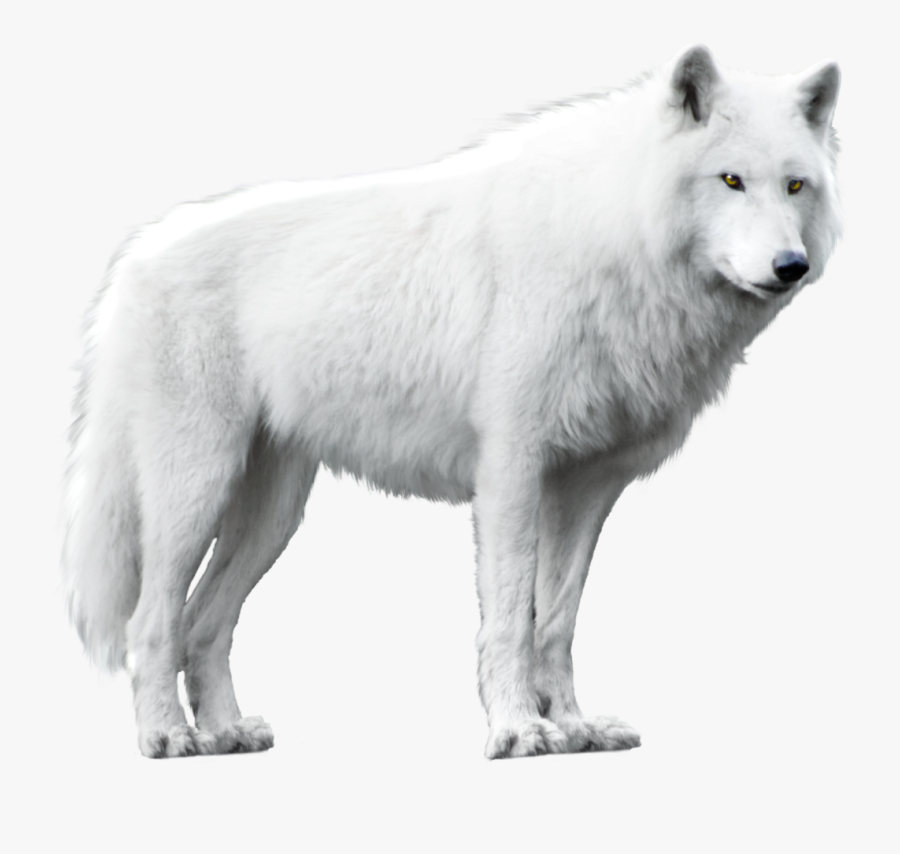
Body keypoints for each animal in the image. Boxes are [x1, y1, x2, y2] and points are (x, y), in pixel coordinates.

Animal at [62, 45, 841, 758]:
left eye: (795, 185)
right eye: (731, 180)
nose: (790, 267)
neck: (611, 234)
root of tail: (137, 257)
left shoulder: (586, 486)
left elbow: (557, 621)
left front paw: (574, 727)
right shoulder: (511, 473)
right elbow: (511, 617)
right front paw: (518, 730)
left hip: (273, 517)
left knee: (204, 623)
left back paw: (226, 732)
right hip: (196, 492)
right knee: (151, 622)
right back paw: (167, 737)